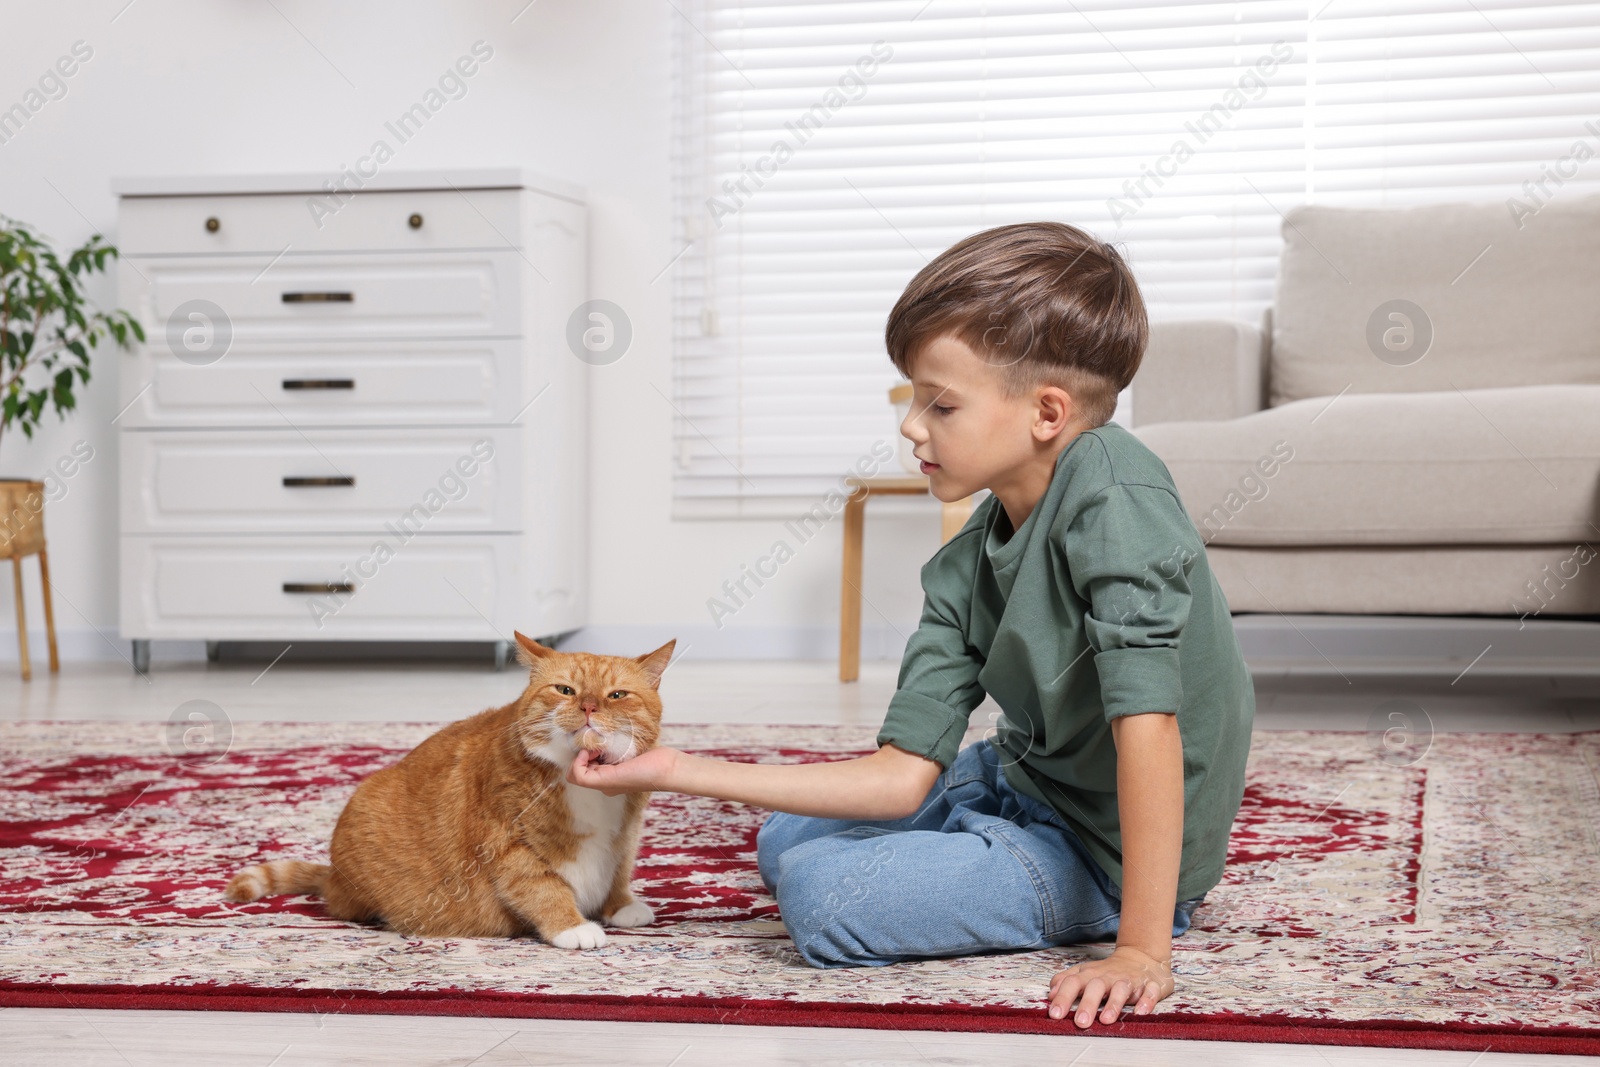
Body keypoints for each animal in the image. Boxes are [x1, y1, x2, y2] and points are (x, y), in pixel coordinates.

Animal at [225, 630, 675, 947]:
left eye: (617, 695)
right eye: (565, 690)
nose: (589, 707)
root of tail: (333, 874)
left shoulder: (626, 836)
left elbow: (618, 870)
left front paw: (620, 906)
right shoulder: (506, 846)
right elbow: (542, 887)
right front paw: (572, 926)